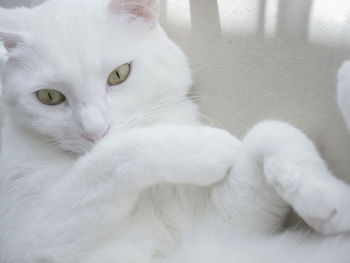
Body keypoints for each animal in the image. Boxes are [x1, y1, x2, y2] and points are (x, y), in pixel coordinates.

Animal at [0, 0, 348, 263]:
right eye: (49, 97)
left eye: (119, 74)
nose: (96, 131)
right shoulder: (35, 241)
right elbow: (110, 159)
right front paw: (208, 147)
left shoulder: (218, 230)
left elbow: (271, 131)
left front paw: (327, 197)